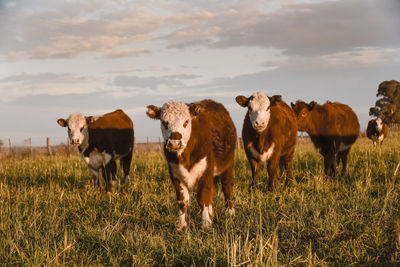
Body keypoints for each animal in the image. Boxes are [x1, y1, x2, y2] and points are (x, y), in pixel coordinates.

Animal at [145, 99, 236, 231]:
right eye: (164, 122)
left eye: (186, 121)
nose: (174, 142)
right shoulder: (175, 174)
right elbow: (183, 201)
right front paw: (182, 226)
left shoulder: (206, 171)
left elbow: (203, 198)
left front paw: (206, 224)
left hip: (228, 164)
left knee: (227, 187)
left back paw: (230, 212)